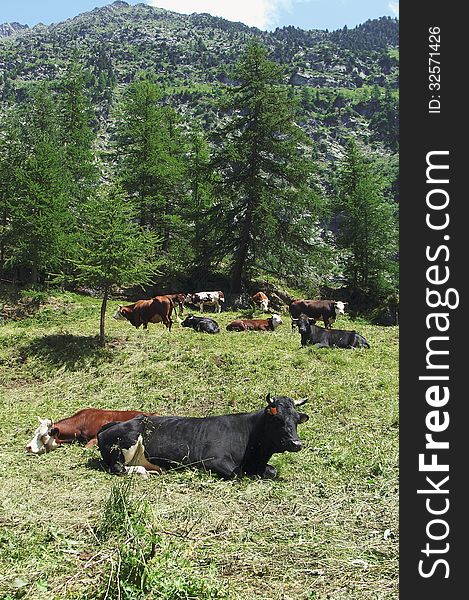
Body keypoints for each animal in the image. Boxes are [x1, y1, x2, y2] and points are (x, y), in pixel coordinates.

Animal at [97, 396, 308, 480]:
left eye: (296, 420)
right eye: (278, 419)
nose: (296, 443)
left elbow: (272, 471)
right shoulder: (213, 460)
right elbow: (237, 473)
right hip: (125, 443)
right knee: (118, 467)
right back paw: (143, 471)